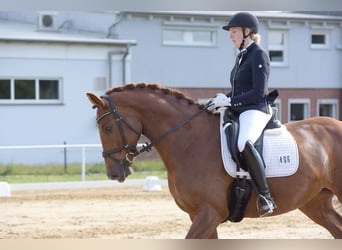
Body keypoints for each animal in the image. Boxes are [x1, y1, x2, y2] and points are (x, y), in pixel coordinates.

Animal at [85, 82, 342, 238]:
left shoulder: (209, 214)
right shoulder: (200, 216)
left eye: (107, 128)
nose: (114, 174)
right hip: (315, 203)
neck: (189, 142)